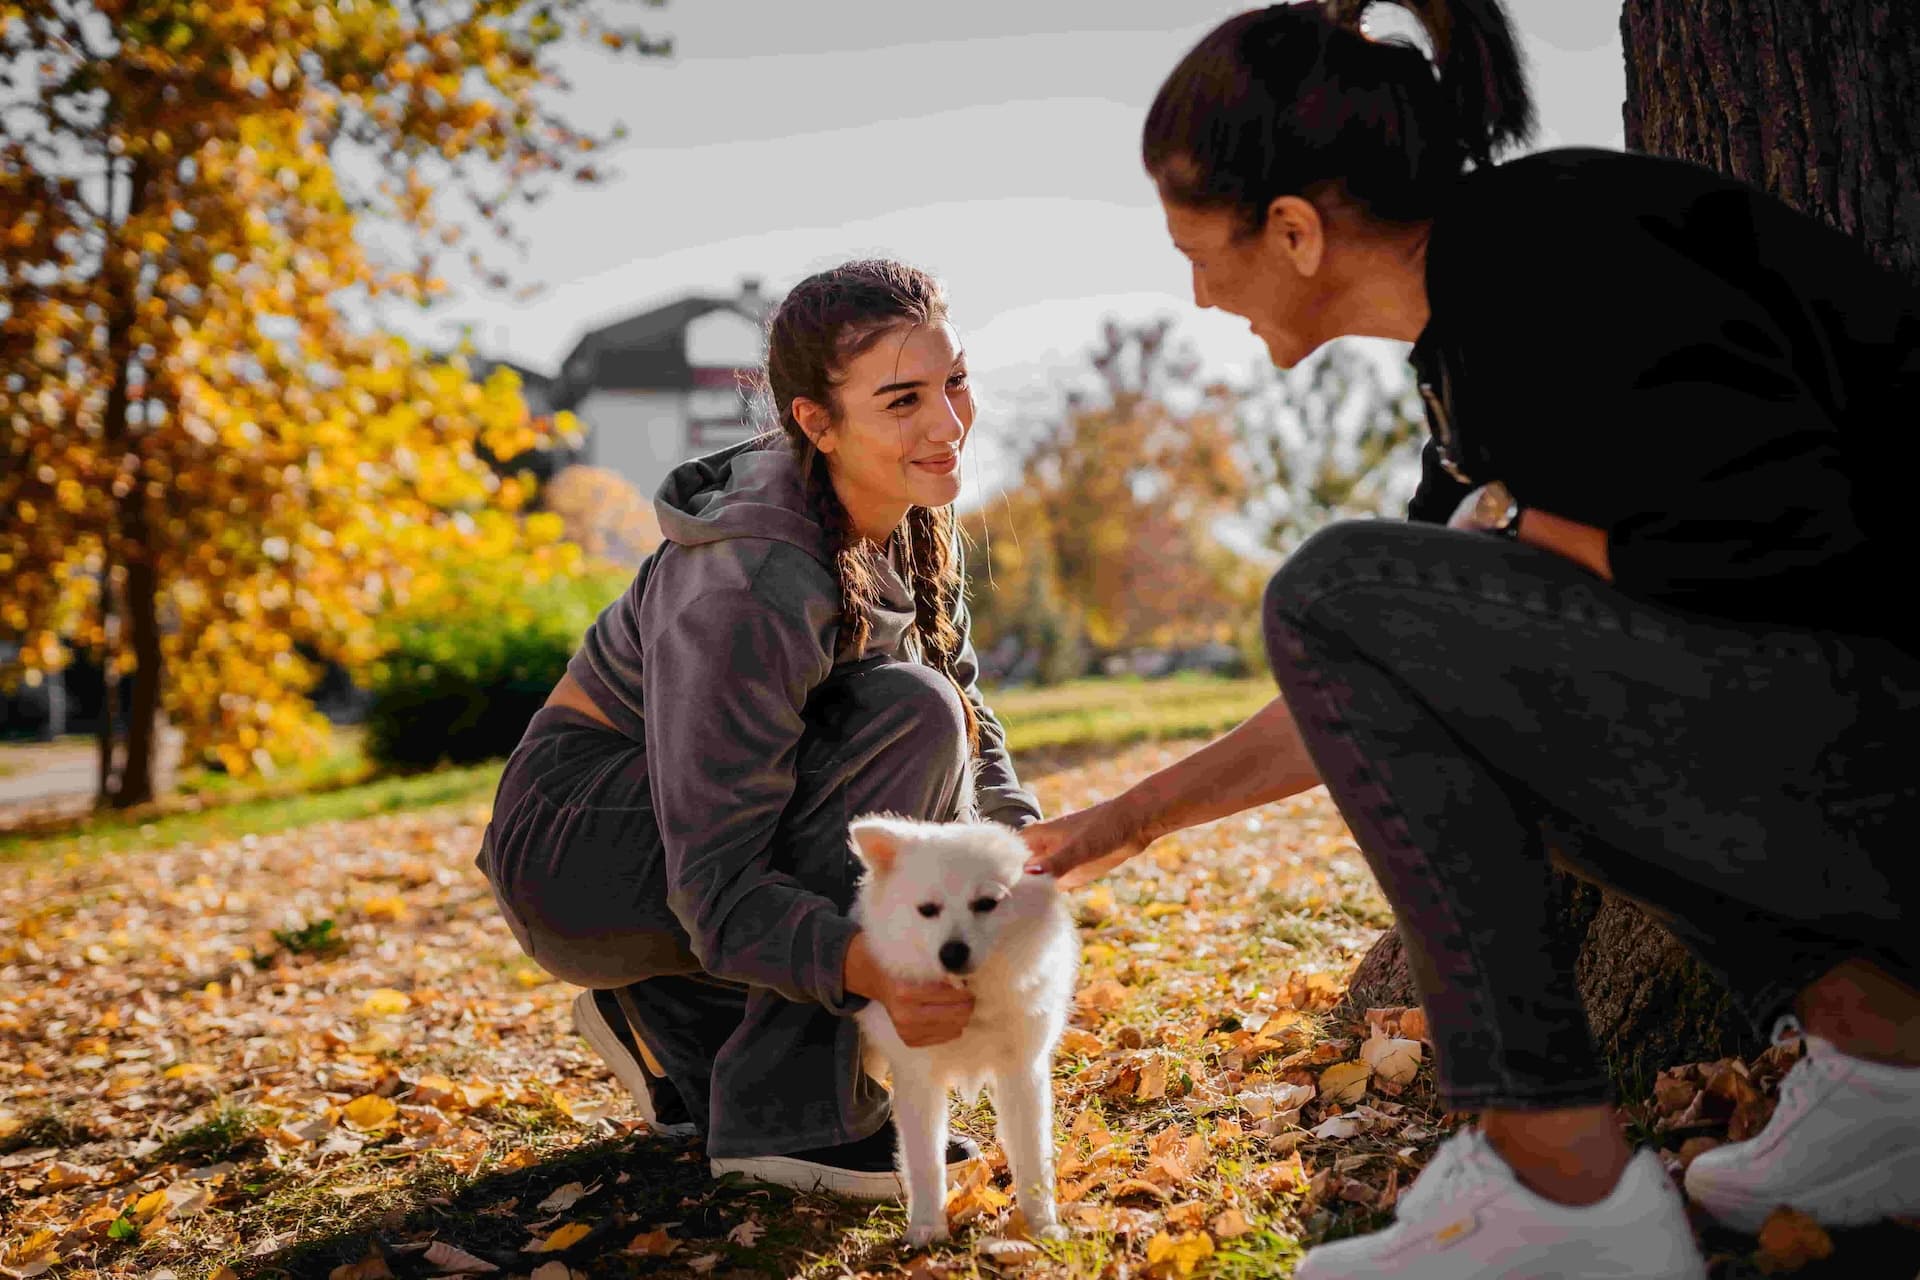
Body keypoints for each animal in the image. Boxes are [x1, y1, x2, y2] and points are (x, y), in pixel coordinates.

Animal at [844, 817, 1075, 1243]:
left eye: (986, 903)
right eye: (927, 910)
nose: (951, 952)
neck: (972, 996)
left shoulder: (1022, 1072)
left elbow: (1033, 1154)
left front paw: (1040, 1224)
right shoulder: (917, 1078)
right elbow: (924, 1161)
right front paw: (926, 1227)